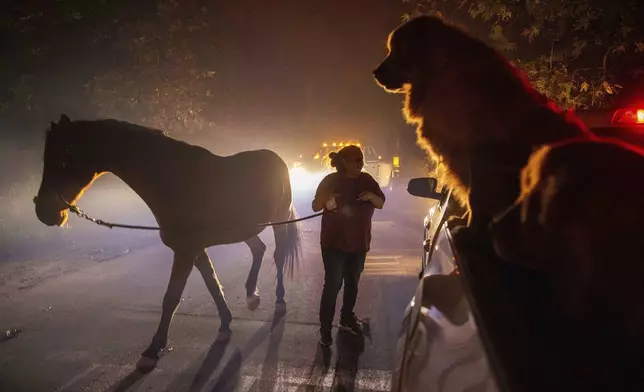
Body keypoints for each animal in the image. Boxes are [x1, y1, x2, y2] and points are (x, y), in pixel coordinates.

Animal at [30, 114, 302, 370]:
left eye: (66, 153)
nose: (44, 212)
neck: (175, 183)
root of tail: (277, 158)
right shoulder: (195, 249)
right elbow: (212, 284)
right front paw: (225, 324)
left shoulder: (185, 252)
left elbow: (171, 298)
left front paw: (153, 350)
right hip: (245, 228)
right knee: (259, 249)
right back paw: (251, 297)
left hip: (278, 221)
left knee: (278, 256)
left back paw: (279, 301)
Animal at [372, 16, 592, 230]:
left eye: (396, 50)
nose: (375, 72)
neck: (440, 71)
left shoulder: (478, 152)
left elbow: (475, 195)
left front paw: (471, 224)